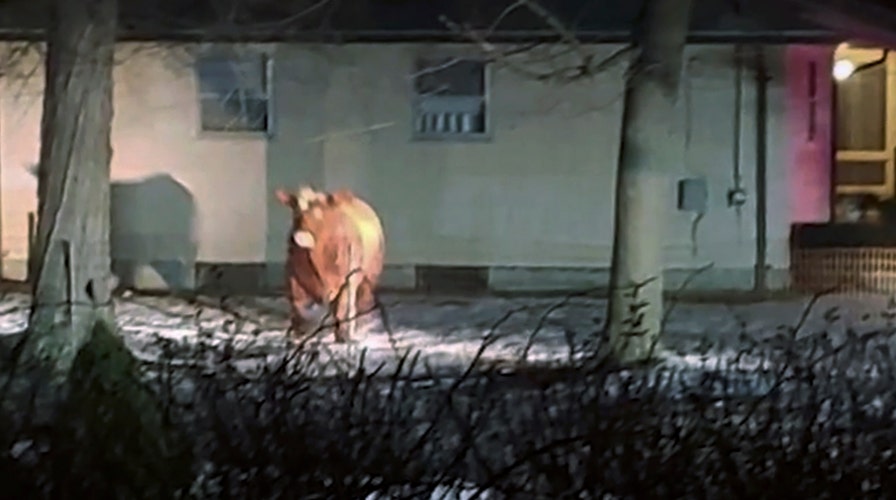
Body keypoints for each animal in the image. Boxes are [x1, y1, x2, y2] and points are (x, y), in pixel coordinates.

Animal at [272, 186, 384, 342]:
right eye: (294, 209)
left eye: (318, 212)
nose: (300, 236)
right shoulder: (292, 277)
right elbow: (297, 306)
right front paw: (298, 334)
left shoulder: (343, 281)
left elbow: (341, 309)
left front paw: (341, 337)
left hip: (368, 277)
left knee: (358, 303)